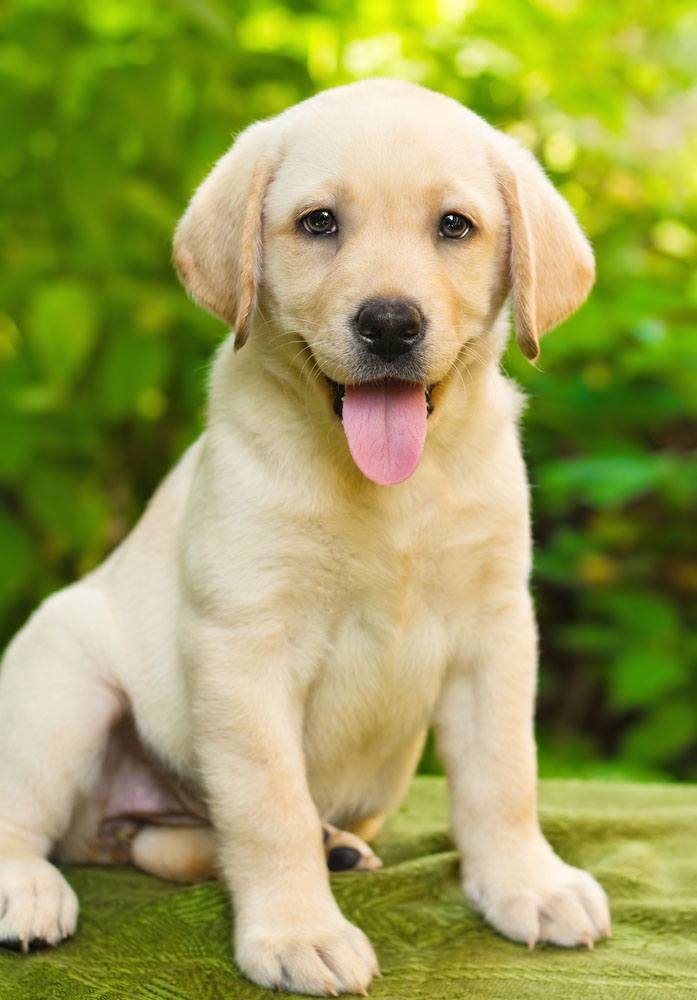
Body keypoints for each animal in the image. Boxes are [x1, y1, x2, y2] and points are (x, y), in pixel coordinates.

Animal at [0, 78, 608, 992]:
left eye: (454, 225)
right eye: (319, 222)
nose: (389, 323)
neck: (389, 491)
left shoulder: (496, 629)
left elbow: (504, 778)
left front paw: (526, 886)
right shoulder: (245, 644)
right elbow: (268, 805)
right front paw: (297, 934)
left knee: (162, 842)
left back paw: (334, 848)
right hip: (59, 686)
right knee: (26, 817)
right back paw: (27, 893)